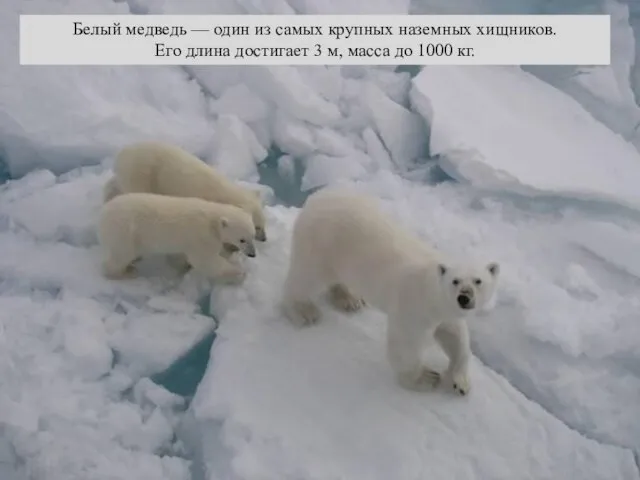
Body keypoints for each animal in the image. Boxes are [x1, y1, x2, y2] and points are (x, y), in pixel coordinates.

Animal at [96, 191, 256, 284]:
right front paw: (238, 272)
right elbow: (206, 262)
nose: (252, 254)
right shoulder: (201, 238)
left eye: (253, 235)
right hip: (125, 232)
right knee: (120, 255)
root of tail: (103, 213)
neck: (212, 219)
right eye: (242, 239)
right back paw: (127, 272)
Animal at [282, 189, 500, 396]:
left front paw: (460, 382)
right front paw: (426, 378)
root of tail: (316, 197)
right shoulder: (414, 306)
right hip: (322, 243)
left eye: (478, 281)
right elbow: (405, 344)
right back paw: (304, 311)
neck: (430, 289)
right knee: (306, 277)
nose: (464, 298)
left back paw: (350, 299)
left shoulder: (446, 313)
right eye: (455, 281)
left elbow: (455, 337)